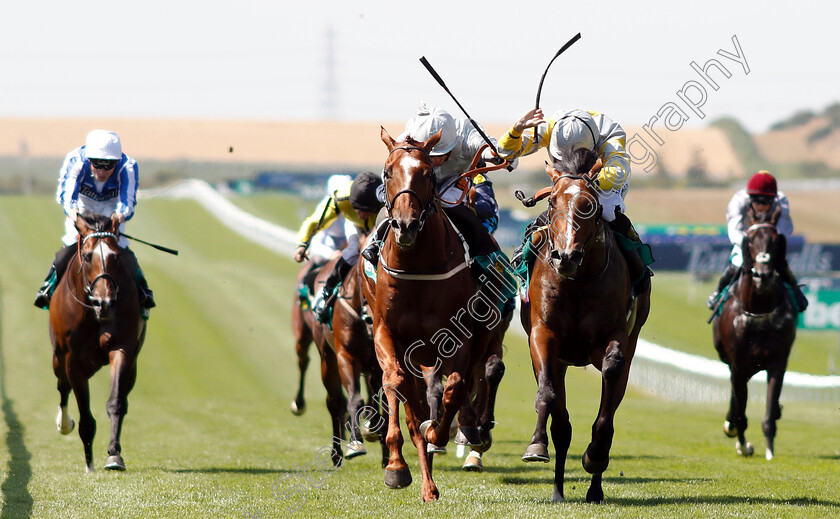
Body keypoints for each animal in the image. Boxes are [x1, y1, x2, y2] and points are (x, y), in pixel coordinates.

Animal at [50, 210, 147, 472]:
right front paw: (89, 465)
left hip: (132, 366)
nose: (105, 303)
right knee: (62, 386)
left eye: (116, 257)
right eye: (86, 256)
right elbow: (85, 416)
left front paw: (114, 455)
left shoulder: (122, 348)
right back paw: (64, 424)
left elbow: (115, 403)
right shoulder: (72, 359)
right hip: (58, 358)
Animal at [520, 150, 652, 504]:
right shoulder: (543, 335)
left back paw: (594, 487)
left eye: (588, 203)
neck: (577, 282)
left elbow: (610, 384)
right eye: (552, 201)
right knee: (562, 426)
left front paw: (594, 456)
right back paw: (557, 490)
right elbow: (547, 396)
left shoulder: (616, 336)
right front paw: (536, 445)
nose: (565, 257)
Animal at [712, 205, 796, 462]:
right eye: (750, 239)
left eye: (776, 239)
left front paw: (769, 449)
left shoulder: (778, 362)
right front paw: (743, 443)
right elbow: (740, 408)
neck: (758, 309)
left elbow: (769, 407)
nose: (763, 276)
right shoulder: (738, 363)